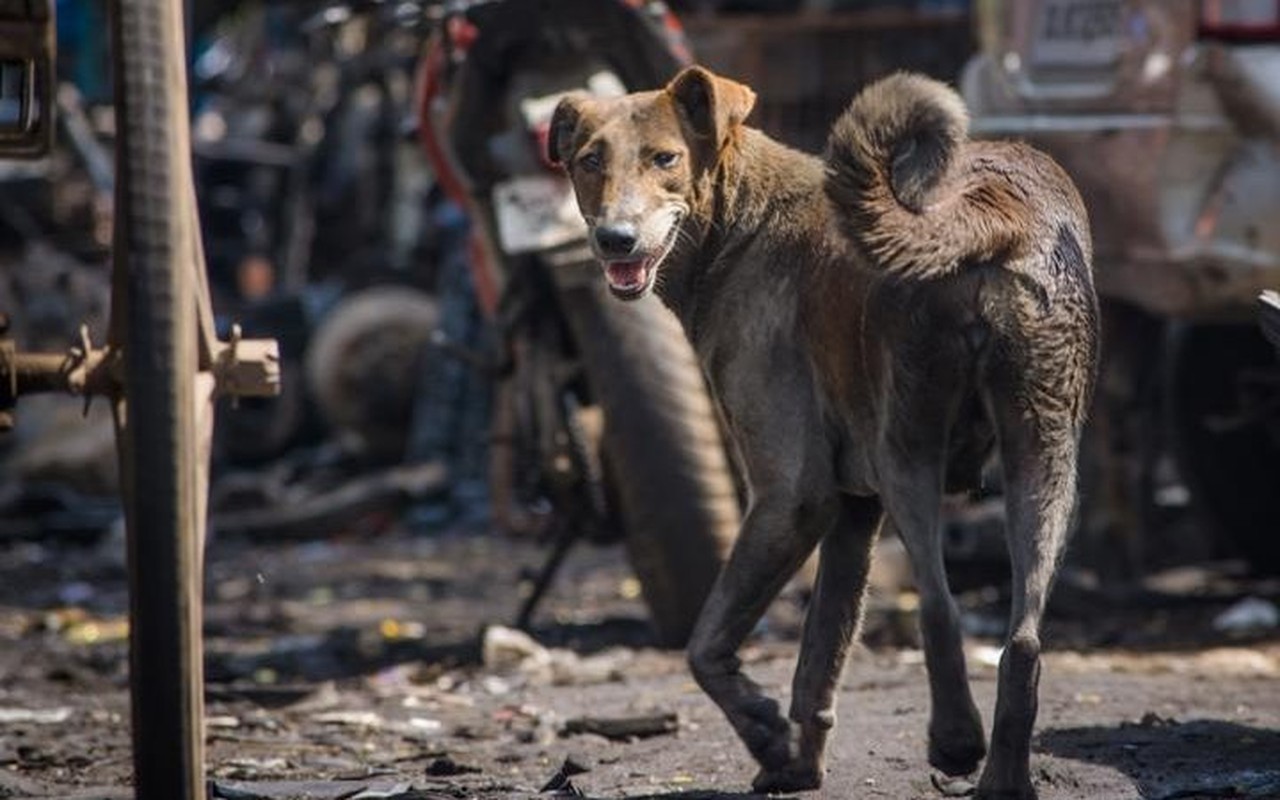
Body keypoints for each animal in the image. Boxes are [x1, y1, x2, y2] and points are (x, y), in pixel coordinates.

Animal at [550, 64, 1100, 798]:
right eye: (589, 162)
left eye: (665, 159)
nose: (616, 238)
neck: (740, 220)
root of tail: (984, 203)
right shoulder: (852, 511)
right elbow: (819, 661)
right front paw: (797, 765)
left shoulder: (794, 494)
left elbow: (705, 644)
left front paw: (763, 732)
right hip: (1044, 458)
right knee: (1022, 640)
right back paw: (1001, 779)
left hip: (908, 445)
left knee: (939, 606)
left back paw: (955, 741)